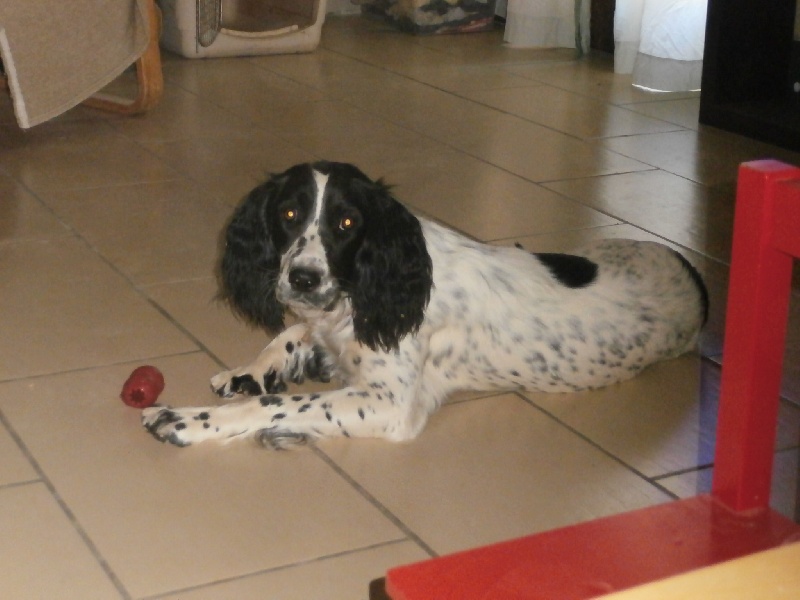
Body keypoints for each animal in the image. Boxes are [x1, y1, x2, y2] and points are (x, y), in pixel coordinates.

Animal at [142, 161, 708, 449]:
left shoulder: (391, 403)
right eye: (287, 213)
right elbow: (291, 334)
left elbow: (274, 404)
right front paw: (252, 369)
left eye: (347, 223)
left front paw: (189, 419)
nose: (303, 279)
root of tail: (693, 272)